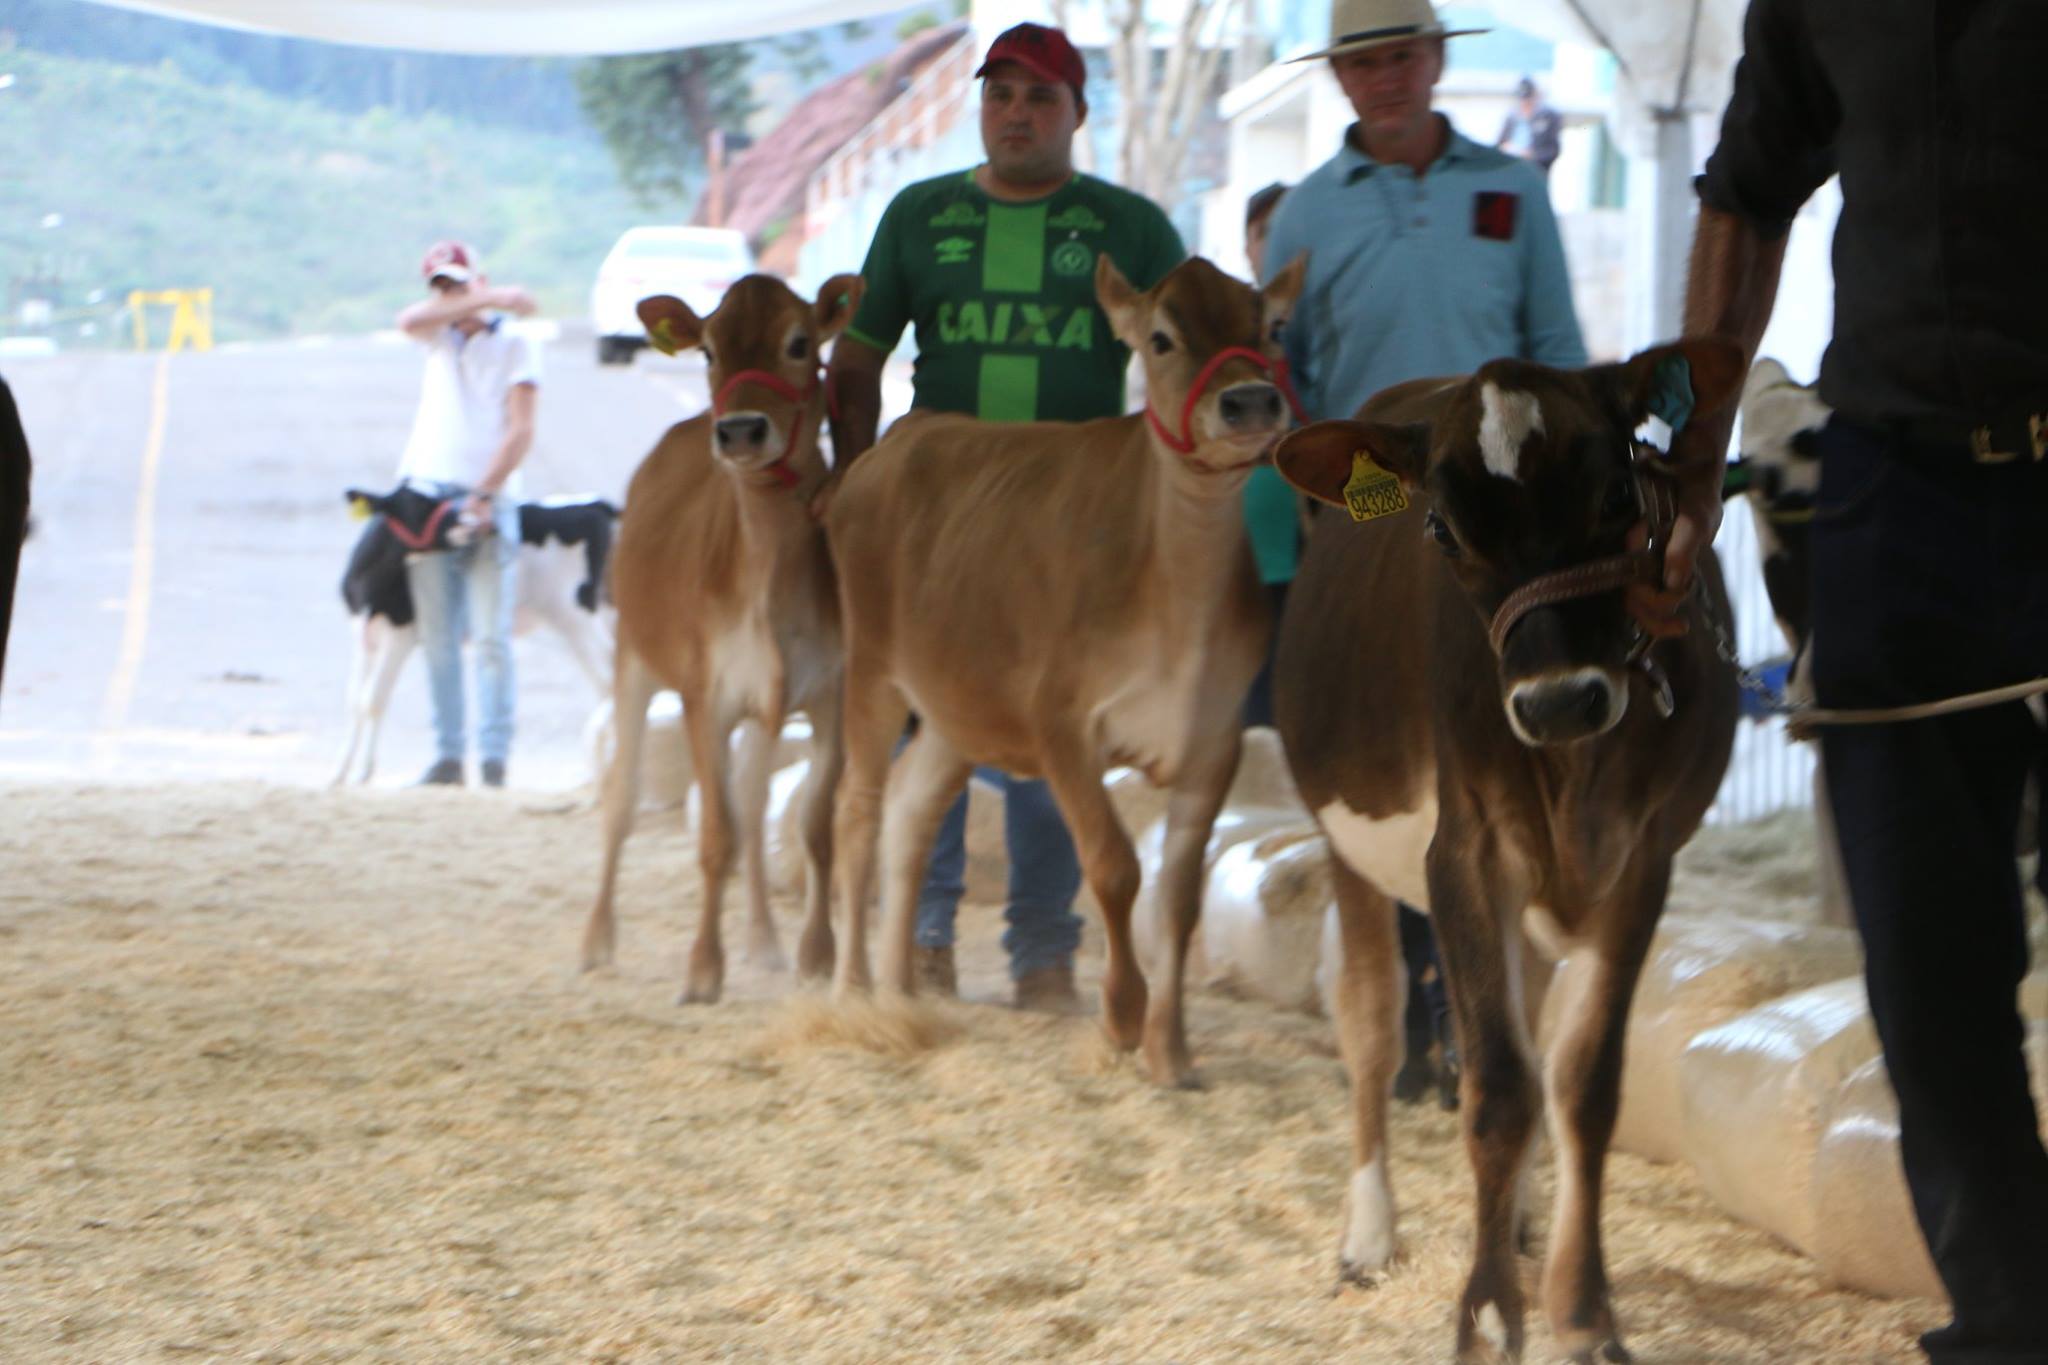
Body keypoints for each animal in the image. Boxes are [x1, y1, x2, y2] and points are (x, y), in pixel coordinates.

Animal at [333, 489, 614, 789]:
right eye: (420, 505)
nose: (472, 524)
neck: (368, 589)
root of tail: (597, 503)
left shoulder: (400, 635)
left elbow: (372, 699)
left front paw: (363, 772)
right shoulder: (361, 634)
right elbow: (353, 700)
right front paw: (339, 773)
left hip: (574, 615)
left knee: (608, 675)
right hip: (599, 611)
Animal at [581, 274, 860, 1002]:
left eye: (800, 342)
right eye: (707, 349)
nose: (738, 430)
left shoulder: (832, 694)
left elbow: (815, 828)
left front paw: (817, 955)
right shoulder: (704, 695)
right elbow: (715, 836)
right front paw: (703, 970)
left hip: (766, 707)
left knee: (755, 797)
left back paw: (764, 941)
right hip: (632, 657)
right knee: (621, 798)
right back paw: (596, 940)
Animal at [1269, 341, 1736, 1365]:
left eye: (1616, 493)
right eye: (1440, 529)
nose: (1560, 700)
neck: (1575, 769)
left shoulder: (1643, 860)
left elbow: (1581, 1082)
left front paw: (1584, 1310)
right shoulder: (1464, 854)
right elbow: (1497, 1086)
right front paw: (1486, 1313)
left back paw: (1517, 1220)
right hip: (1349, 843)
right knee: (1371, 1025)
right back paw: (1369, 1236)